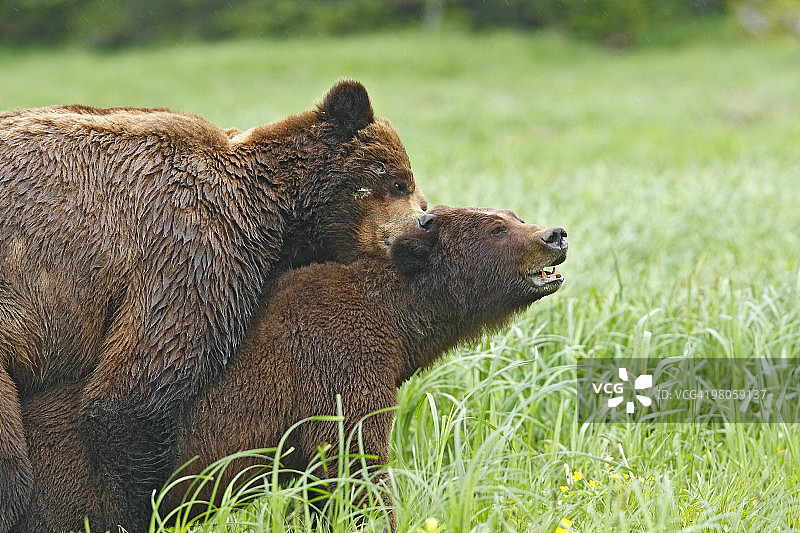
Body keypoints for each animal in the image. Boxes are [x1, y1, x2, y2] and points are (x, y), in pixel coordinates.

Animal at [0, 79, 427, 531]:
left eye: (415, 192)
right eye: (397, 181)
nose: (425, 220)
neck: (270, 208)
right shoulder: (192, 250)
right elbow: (135, 394)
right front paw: (144, 507)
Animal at [13, 205, 568, 532]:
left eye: (513, 214)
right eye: (497, 227)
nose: (555, 234)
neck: (398, 324)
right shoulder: (337, 361)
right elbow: (355, 463)